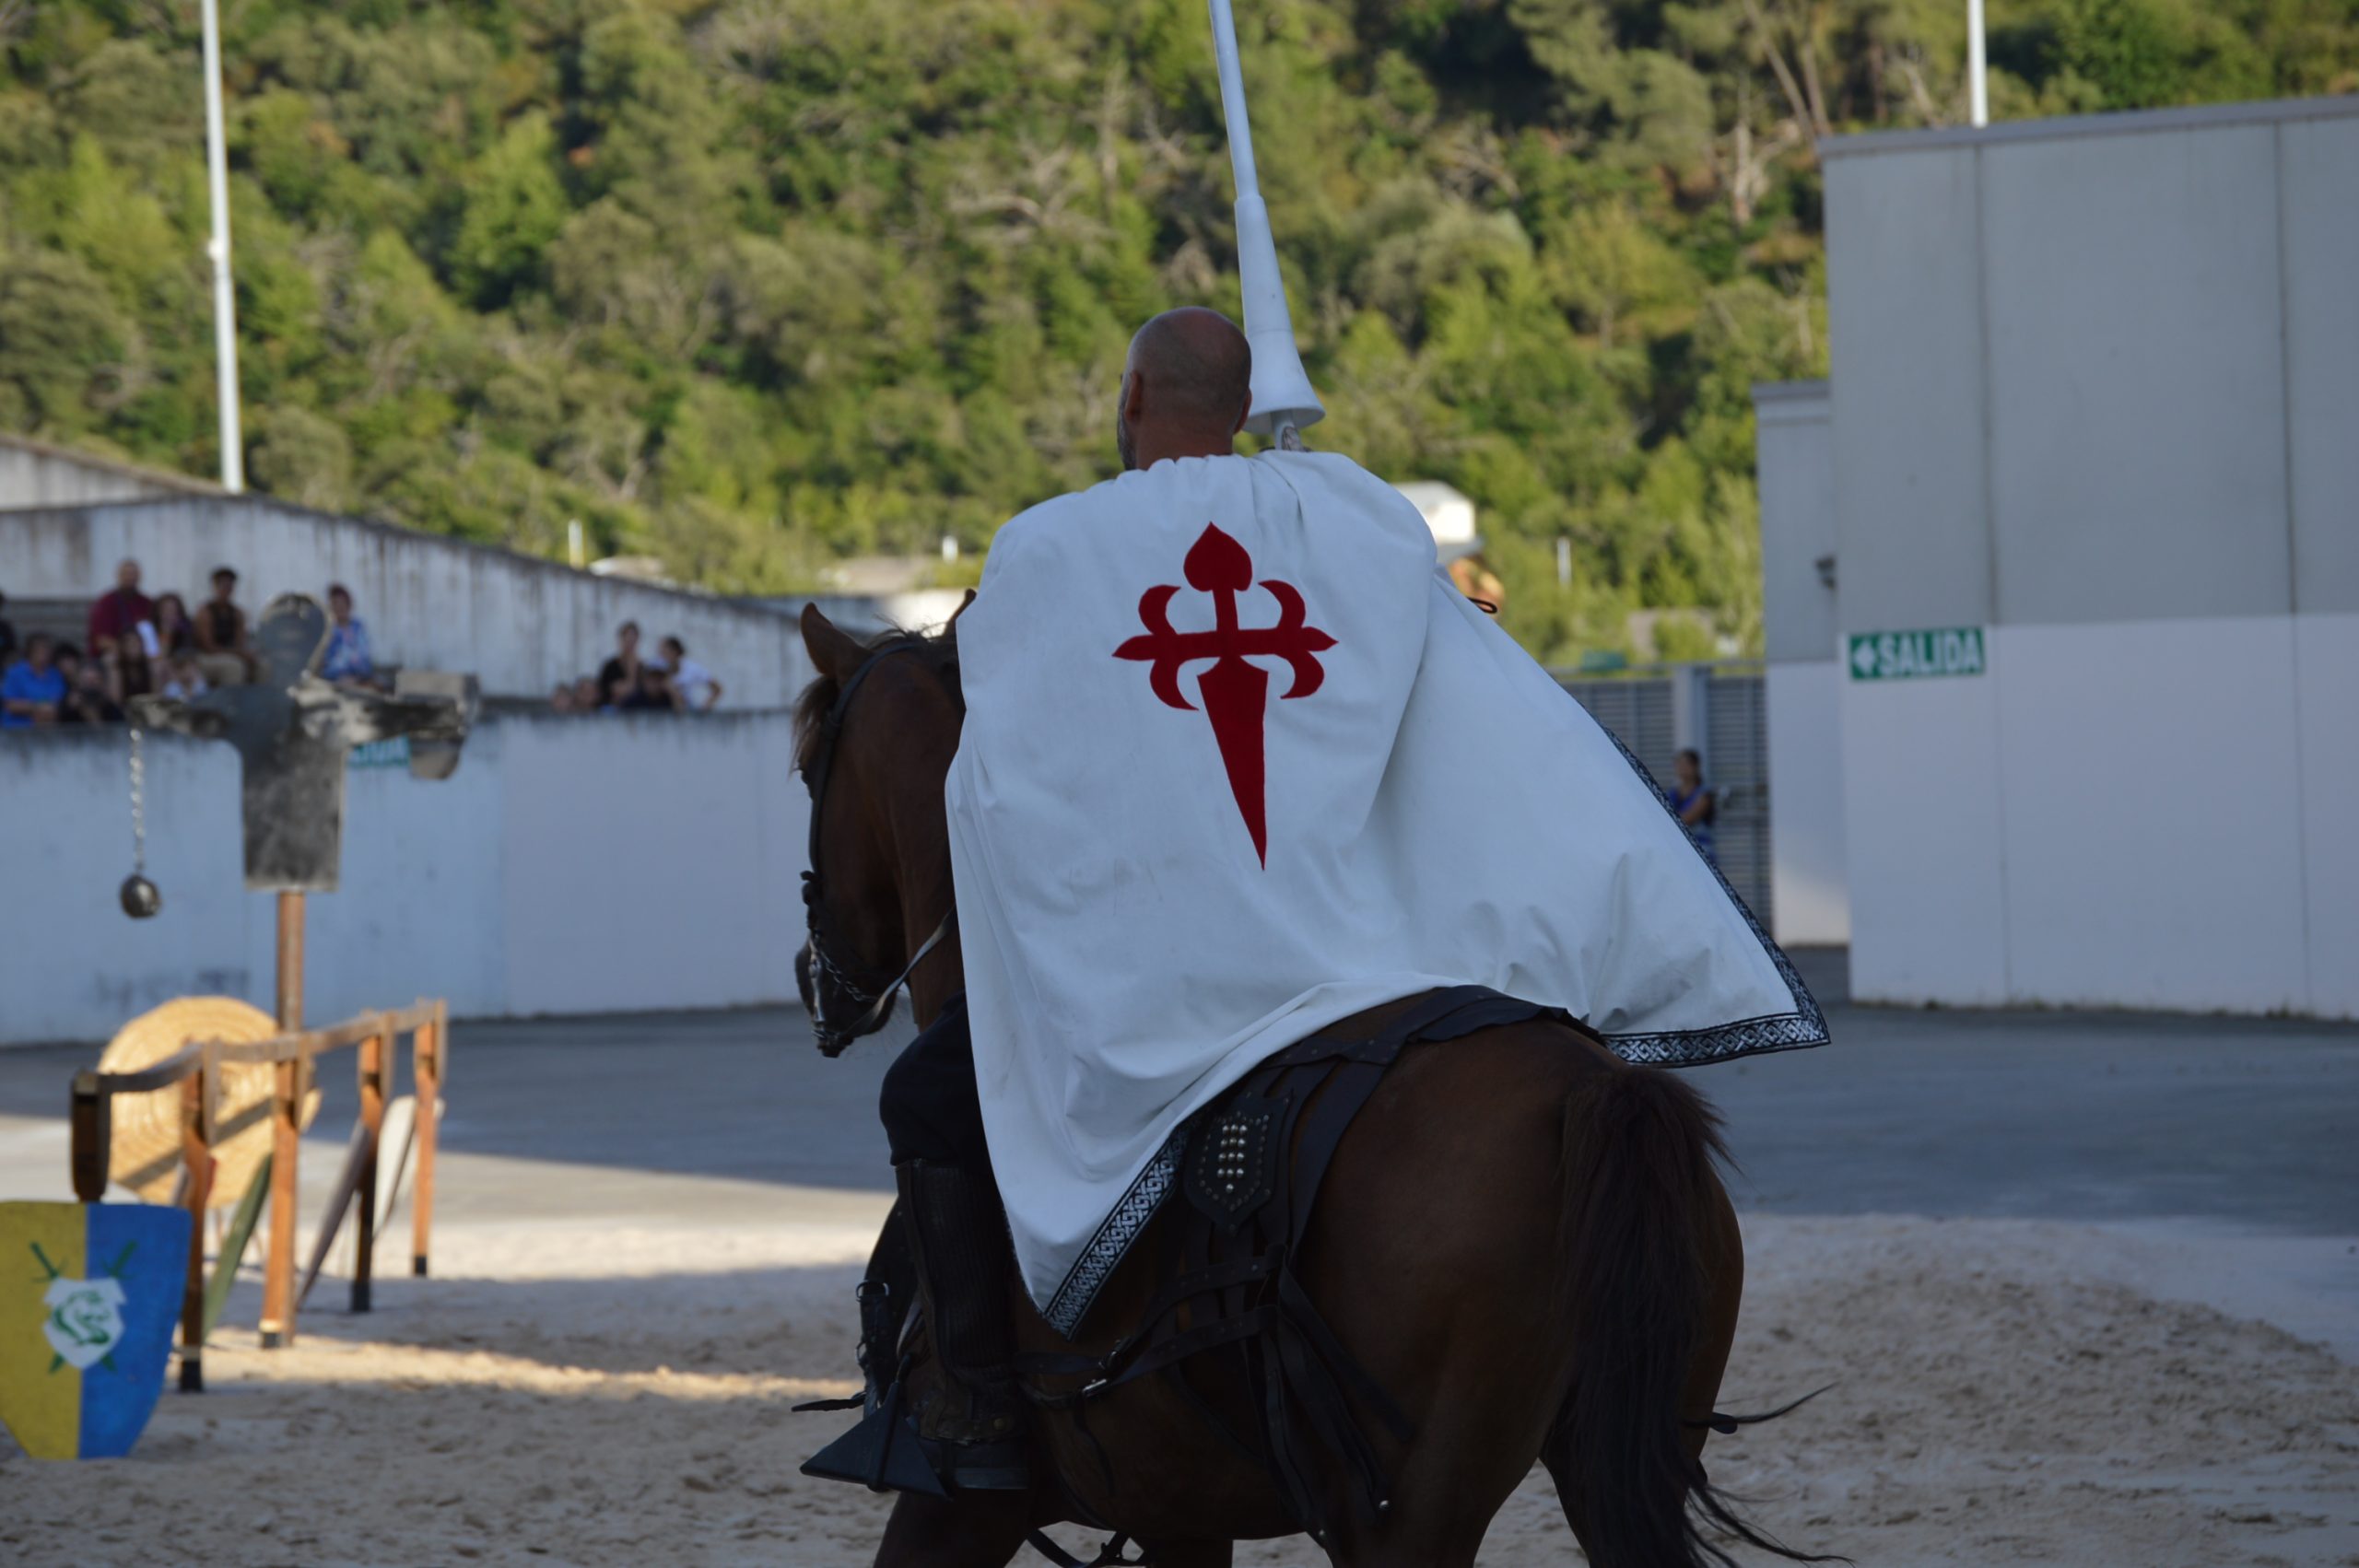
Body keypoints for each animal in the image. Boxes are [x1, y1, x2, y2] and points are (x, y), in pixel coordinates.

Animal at [802, 608, 1812, 1565]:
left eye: (808, 765)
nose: (819, 980)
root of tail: (1585, 1093)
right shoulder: (1181, 1517)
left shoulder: (957, 1513)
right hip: (1618, 1468)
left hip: (1408, 1522)